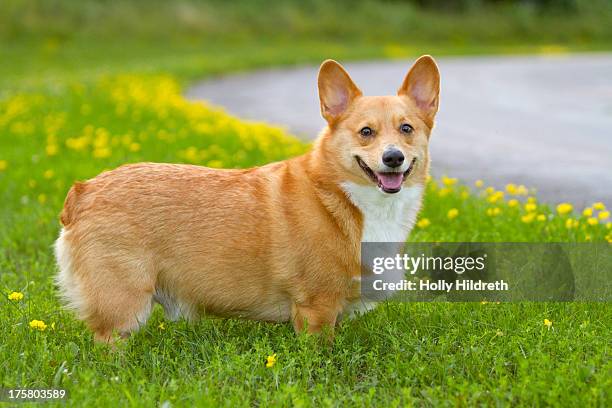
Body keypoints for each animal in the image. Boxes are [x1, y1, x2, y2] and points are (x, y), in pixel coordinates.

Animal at [53, 54, 440, 342]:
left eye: (407, 129)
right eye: (366, 132)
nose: (393, 158)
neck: (344, 197)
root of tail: (83, 191)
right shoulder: (316, 308)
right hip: (125, 305)